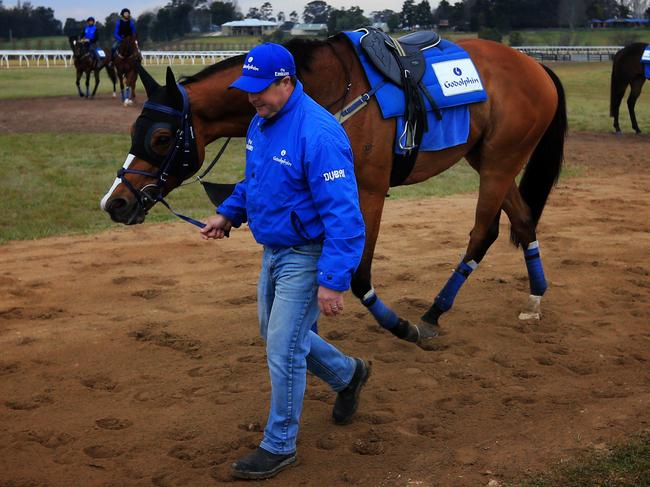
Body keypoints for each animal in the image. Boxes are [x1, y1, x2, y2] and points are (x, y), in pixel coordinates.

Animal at [98, 34, 564, 348]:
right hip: (488, 159)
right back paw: (536, 298)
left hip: (501, 161)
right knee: (523, 219)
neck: (327, 89)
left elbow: (357, 277)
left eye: (161, 138)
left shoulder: (367, 192)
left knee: (483, 233)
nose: (115, 202)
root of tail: (535, 67)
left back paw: (434, 312)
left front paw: (399, 325)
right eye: (135, 129)